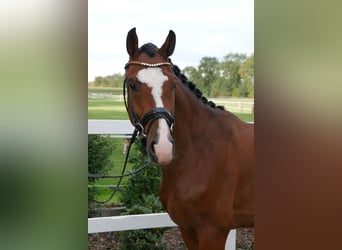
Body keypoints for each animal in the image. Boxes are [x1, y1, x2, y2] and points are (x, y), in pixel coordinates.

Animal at [124, 27, 252, 250]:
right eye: (132, 84)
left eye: (173, 85)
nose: (163, 147)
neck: (200, 152)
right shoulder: (187, 230)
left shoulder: (213, 232)